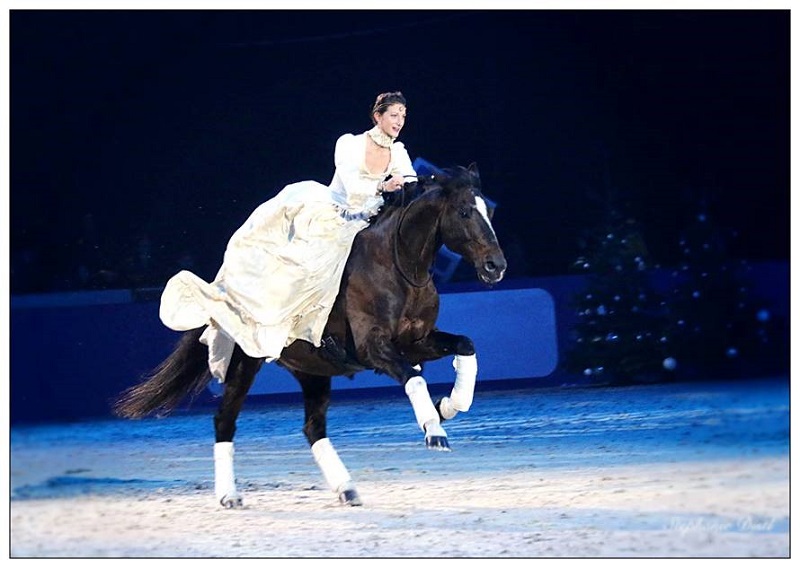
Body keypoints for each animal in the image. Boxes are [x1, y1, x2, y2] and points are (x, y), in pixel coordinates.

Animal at [113, 163, 507, 507]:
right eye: (464, 212)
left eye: (489, 209)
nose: (496, 266)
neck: (398, 267)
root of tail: (223, 287)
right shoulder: (374, 348)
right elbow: (414, 379)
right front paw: (434, 430)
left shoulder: (417, 342)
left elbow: (465, 346)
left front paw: (449, 406)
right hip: (246, 363)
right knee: (225, 420)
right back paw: (229, 496)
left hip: (313, 371)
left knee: (313, 428)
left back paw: (347, 490)